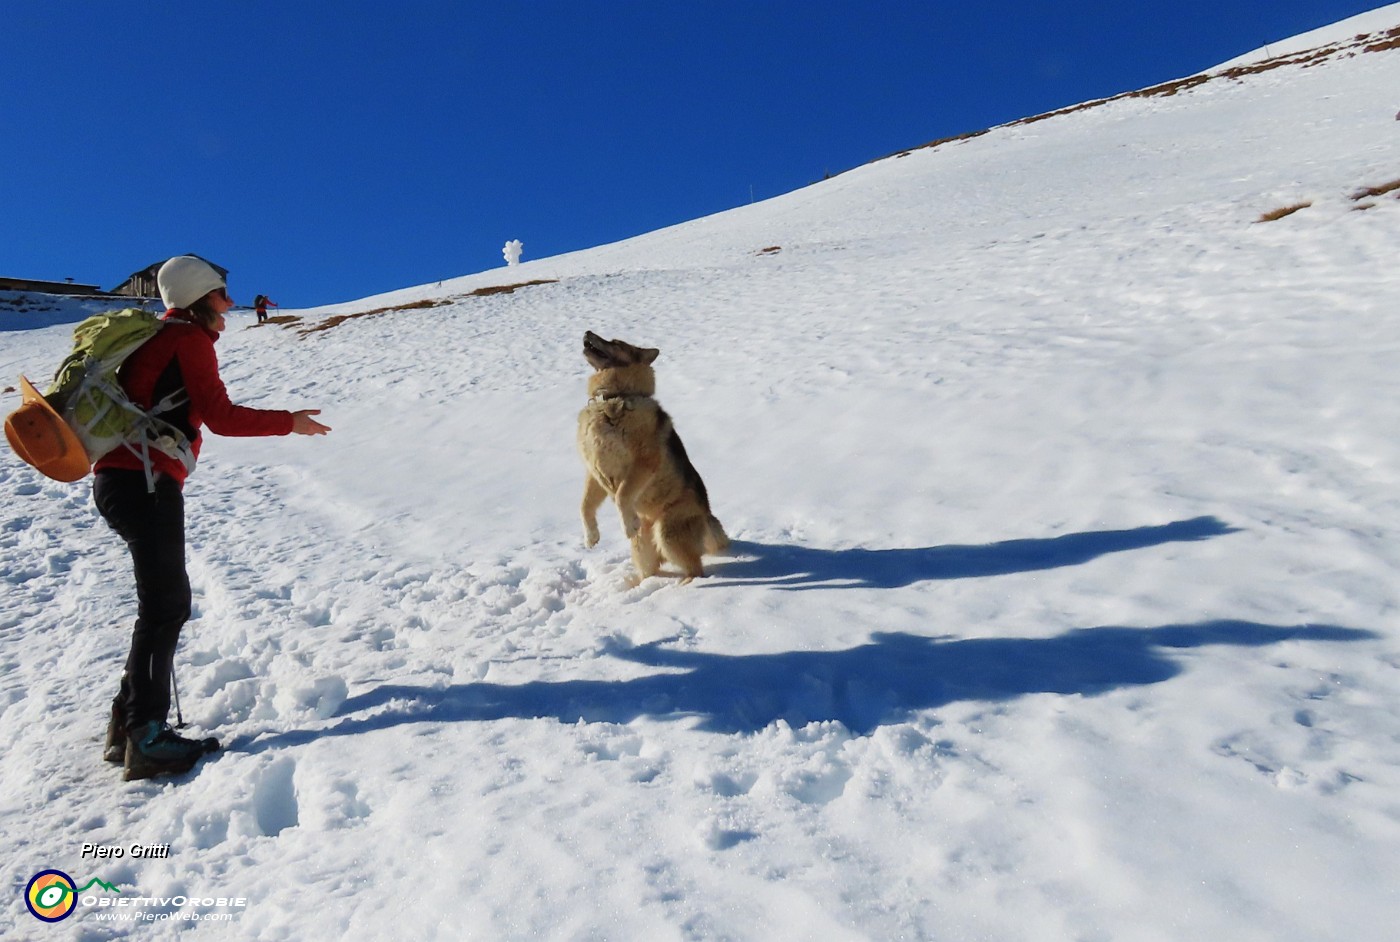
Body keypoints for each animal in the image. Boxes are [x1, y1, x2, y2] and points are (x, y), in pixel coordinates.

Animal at [579, 330, 733, 579]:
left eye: (616, 343)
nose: (587, 332)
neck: (613, 398)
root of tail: (707, 515)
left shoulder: (643, 461)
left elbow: (622, 495)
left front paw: (627, 525)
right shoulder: (593, 471)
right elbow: (585, 506)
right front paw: (591, 537)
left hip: (667, 533)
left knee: (695, 567)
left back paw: (687, 583)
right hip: (642, 549)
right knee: (651, 570)